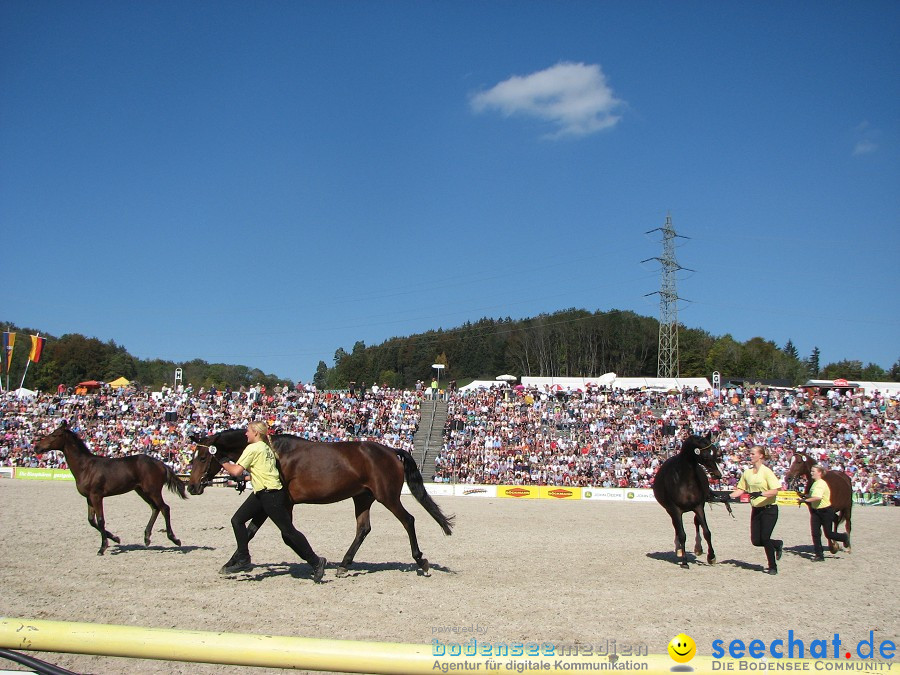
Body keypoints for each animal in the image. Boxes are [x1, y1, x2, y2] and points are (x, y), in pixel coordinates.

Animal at [36, 420, 187, 556]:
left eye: (55, 435)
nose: (37, 447)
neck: (86, 467)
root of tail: (161, 464)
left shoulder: (97, 496)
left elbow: (101, 520)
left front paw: (102, 548)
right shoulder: (89, 498)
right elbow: (91, 521)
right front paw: (116, 538)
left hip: (153, 491)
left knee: (165, 508)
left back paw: (175, 539)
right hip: (142, 491)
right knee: (155, 508)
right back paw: (147, 538)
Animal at [191, 430, 458, 580]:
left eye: (203, 457)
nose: (193, 487)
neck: (274, 453)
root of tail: (391, 451)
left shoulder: (283, 503)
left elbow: (286, 535)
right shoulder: (268, 503)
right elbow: (249, 531)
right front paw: (232, 563)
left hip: (388, 497)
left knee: (408, 520)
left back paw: (421, 561)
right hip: (362, 497)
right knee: (363, 529)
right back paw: (344, 565)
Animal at [652, 434, 732, 572]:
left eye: (716, 452)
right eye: (705, 456)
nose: (718, 474)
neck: (684, 480)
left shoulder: (699, 506)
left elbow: (707, 532)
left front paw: (711, 556)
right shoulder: (675, 509)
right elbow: (682, 534)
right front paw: (684, 561)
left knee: (696, 522)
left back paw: (698, 547)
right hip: (670, 511)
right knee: (677, 527)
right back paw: (679, 548)